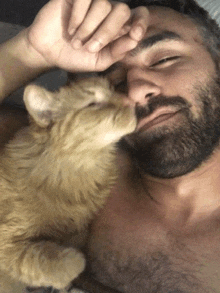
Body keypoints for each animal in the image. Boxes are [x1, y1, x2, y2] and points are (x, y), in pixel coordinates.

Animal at [0, 77, 136, 290]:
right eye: (92, 104)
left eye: (114, 90)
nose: (130, 100)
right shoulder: (6, 241)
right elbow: (39, 258)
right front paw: (74, 263)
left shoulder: (78, 228)